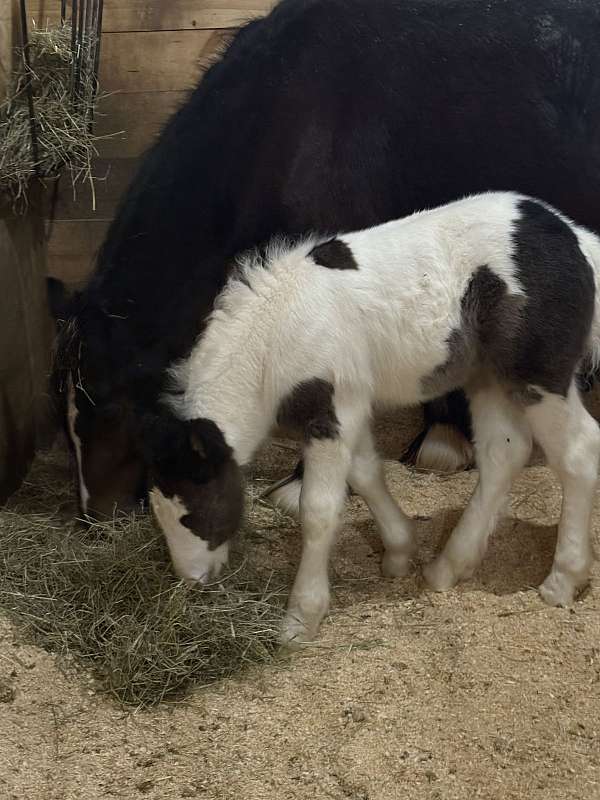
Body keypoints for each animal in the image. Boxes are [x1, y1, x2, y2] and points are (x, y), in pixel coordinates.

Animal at [143, 192, 600, 644]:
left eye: (192, 512)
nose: (193, 580)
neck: (275, 340)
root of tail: (577, 240)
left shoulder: (330, 413)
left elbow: (319, 509)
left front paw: (301, 619)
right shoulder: (351, 407)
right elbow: (365, 473)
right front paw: (399, 552)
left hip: (539, 378)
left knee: (579, 454)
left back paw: (563, 580)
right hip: (488, 377)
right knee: (504, 452)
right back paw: (446, 568)